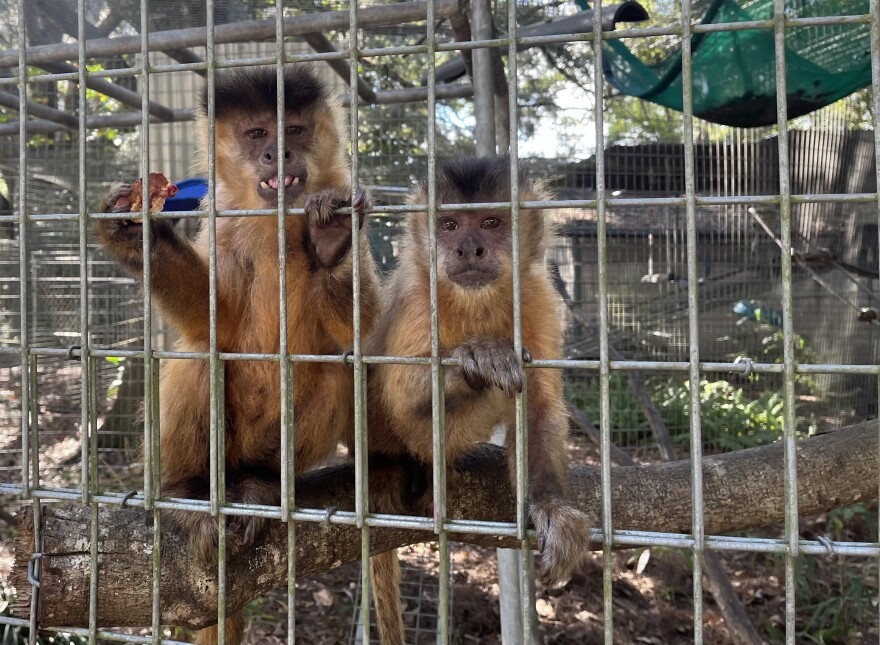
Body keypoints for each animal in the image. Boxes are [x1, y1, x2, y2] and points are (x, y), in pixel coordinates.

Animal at [95, 64, 380, 645]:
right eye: (256, 135)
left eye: (293, 130)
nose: (278, 154)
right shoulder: (222, 219)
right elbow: (214, 322)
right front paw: (133, 232)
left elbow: (362, 328)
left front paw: (332, 240)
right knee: (203, 357)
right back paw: (188, 492)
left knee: (335, 370)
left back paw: (261, 486)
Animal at [363, 156, 592, 645]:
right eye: (449, 225)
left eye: (490, 222)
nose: (469, 249)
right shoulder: (418, 295)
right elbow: (402, 396)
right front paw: (482, 355)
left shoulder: (537, 296)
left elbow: (541, 407)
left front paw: (550, 506)